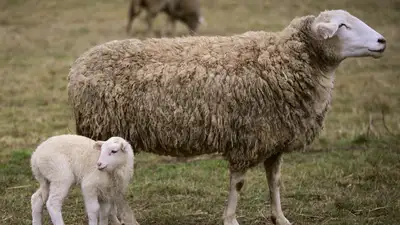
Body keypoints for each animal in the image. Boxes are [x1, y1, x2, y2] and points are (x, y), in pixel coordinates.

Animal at [67, 9, 386, 225]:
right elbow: (239, 184)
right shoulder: (248, 137)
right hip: (104, 127)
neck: (283, 61)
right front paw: (231, 218)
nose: (382, 41)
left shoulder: (274, 139)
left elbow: (275, 181)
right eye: (343, 25)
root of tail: (77, 66)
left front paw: (279, 217)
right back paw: (125, 219)